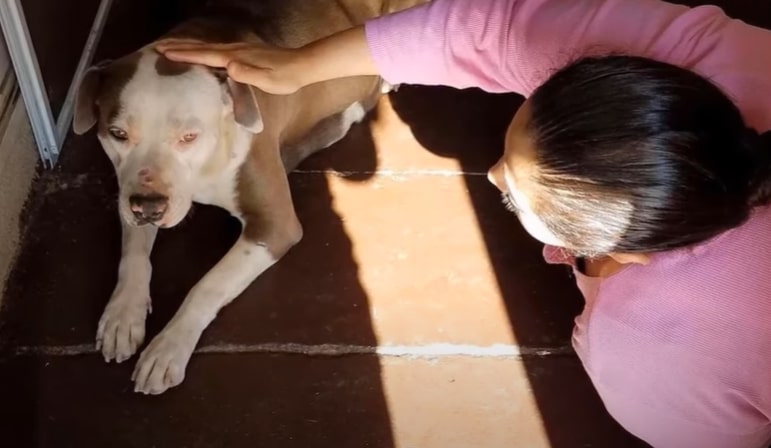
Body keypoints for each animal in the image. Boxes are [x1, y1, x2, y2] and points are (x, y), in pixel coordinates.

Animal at [72, 0, 428, 394]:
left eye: (189, 137)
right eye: (117, 133)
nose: (148, 207)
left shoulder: (274, 226)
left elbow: (207, 285)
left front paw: (168, 347)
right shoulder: (132, 194)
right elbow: (134, 255)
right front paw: (123, 314)